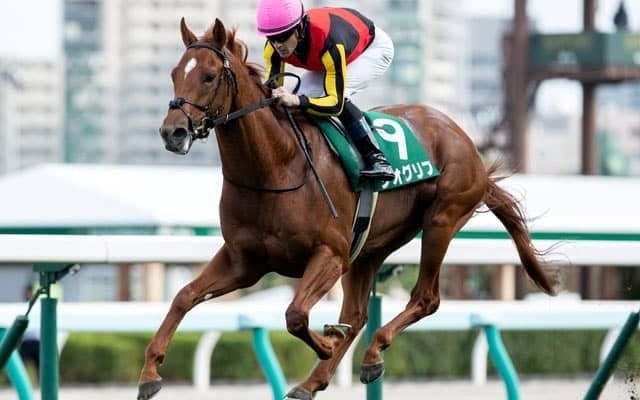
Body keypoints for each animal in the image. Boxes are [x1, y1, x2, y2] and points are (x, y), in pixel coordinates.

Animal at [137, 18, 557, 400]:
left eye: (209, 76)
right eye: (175, 73)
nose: (172, 132)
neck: (277, 165)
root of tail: (467, 144)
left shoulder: (330, 254)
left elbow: (295, 315)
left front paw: (326, 343)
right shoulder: (245, 260)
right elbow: (184, 296)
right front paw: (149, 374)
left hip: (442, 219)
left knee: (424, 298)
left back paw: (370, 352)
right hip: (370, 247)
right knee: (356, 315)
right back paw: (317, 380)